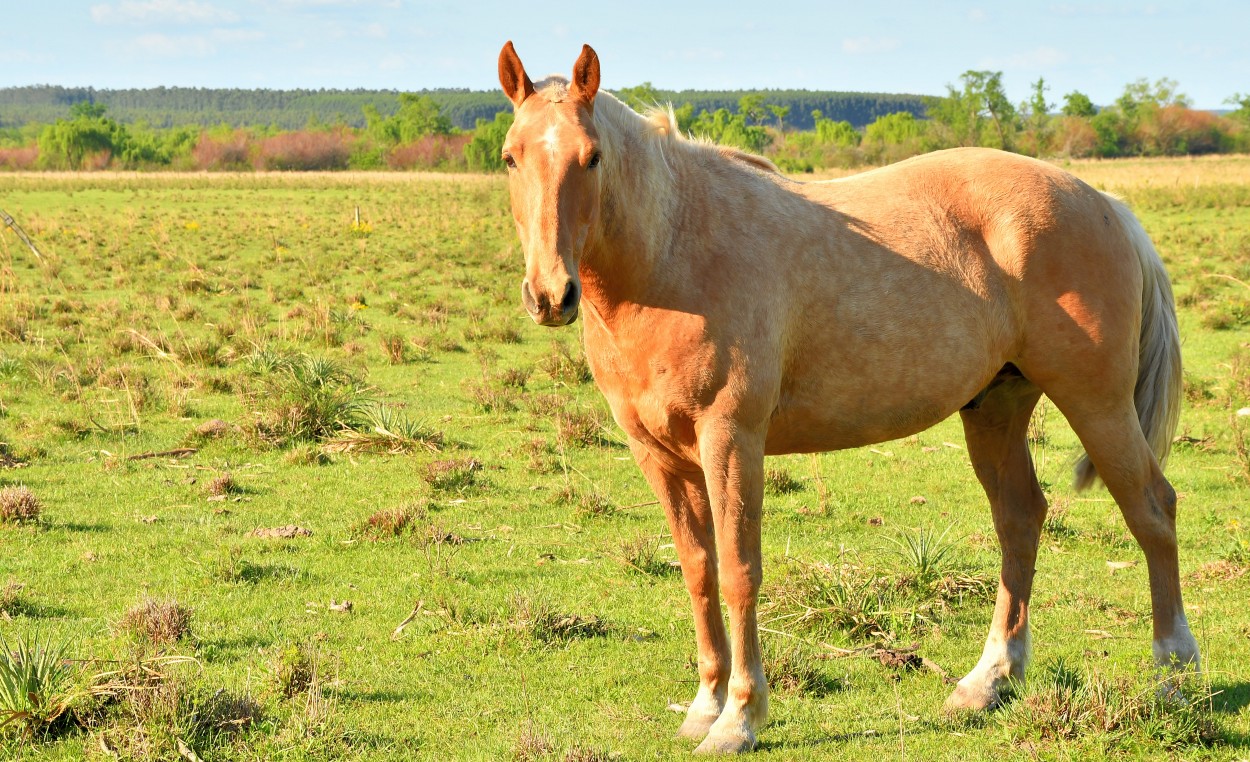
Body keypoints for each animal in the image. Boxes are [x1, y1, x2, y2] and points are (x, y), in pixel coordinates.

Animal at [492, 39, 1195, 749]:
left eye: (592, 156)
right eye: (510, 156)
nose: (550, 295)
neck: (675, 251)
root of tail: (1104, 202)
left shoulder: (731, 439)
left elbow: (739, 571)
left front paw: (740, 716)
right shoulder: (656, 454)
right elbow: (697, 570)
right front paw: (704, 704)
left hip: (1097, 404)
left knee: (1152, 511)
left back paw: (1173, 676)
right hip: (996, 408)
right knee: (1021, 519)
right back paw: (989, 681)